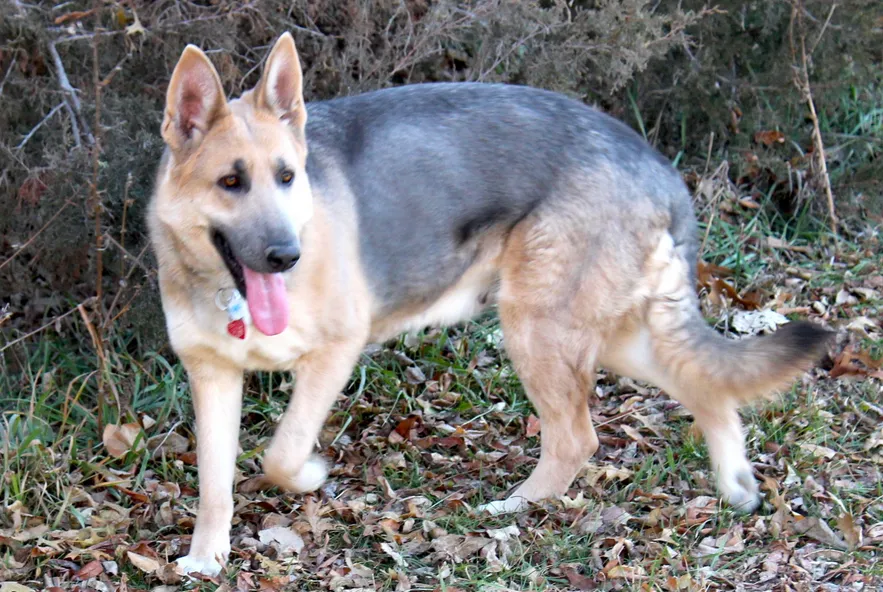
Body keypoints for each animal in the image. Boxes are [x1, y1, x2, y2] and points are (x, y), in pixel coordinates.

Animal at [148, 32, 832, 572]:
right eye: (230, 182)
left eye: (288, 177)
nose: (286, 255)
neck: (226, 289)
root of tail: (656, 166)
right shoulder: (212, 378)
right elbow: (214, 484)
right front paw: (206, 556)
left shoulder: (335, 352)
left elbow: (282, 453)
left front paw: (310, 478)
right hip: (611, 334)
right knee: (702, 384)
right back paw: (735, 483)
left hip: (538, 329)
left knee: (577, 438)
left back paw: (517, 506)